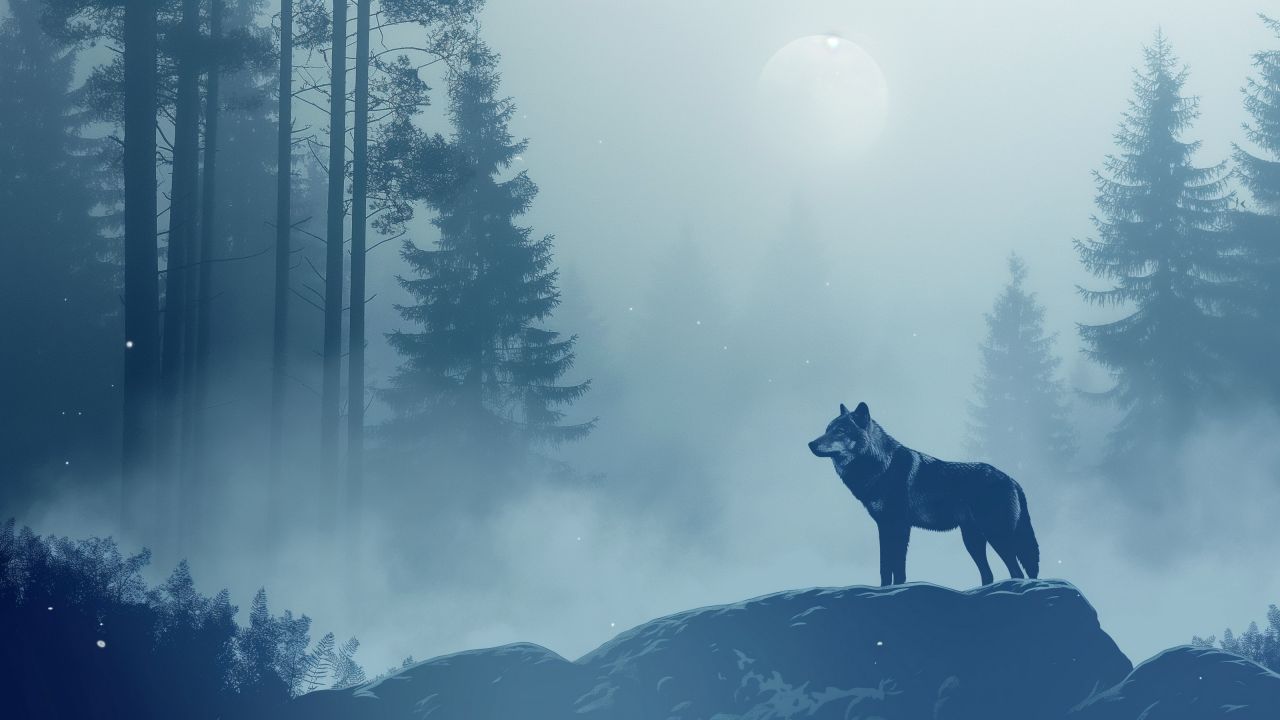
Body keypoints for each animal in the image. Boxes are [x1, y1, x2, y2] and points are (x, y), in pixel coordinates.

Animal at [807, 402, 1039, 587]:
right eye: (827, 429)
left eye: (840, 431)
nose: (810, 444)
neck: (881, 467)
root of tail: (1012, 480)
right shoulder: (884, 526)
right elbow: (885, 568)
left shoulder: (899, 526)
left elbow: (897, 568)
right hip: (973, 540)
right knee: (988, 574)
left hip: (996, 536)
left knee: (1016, 572)